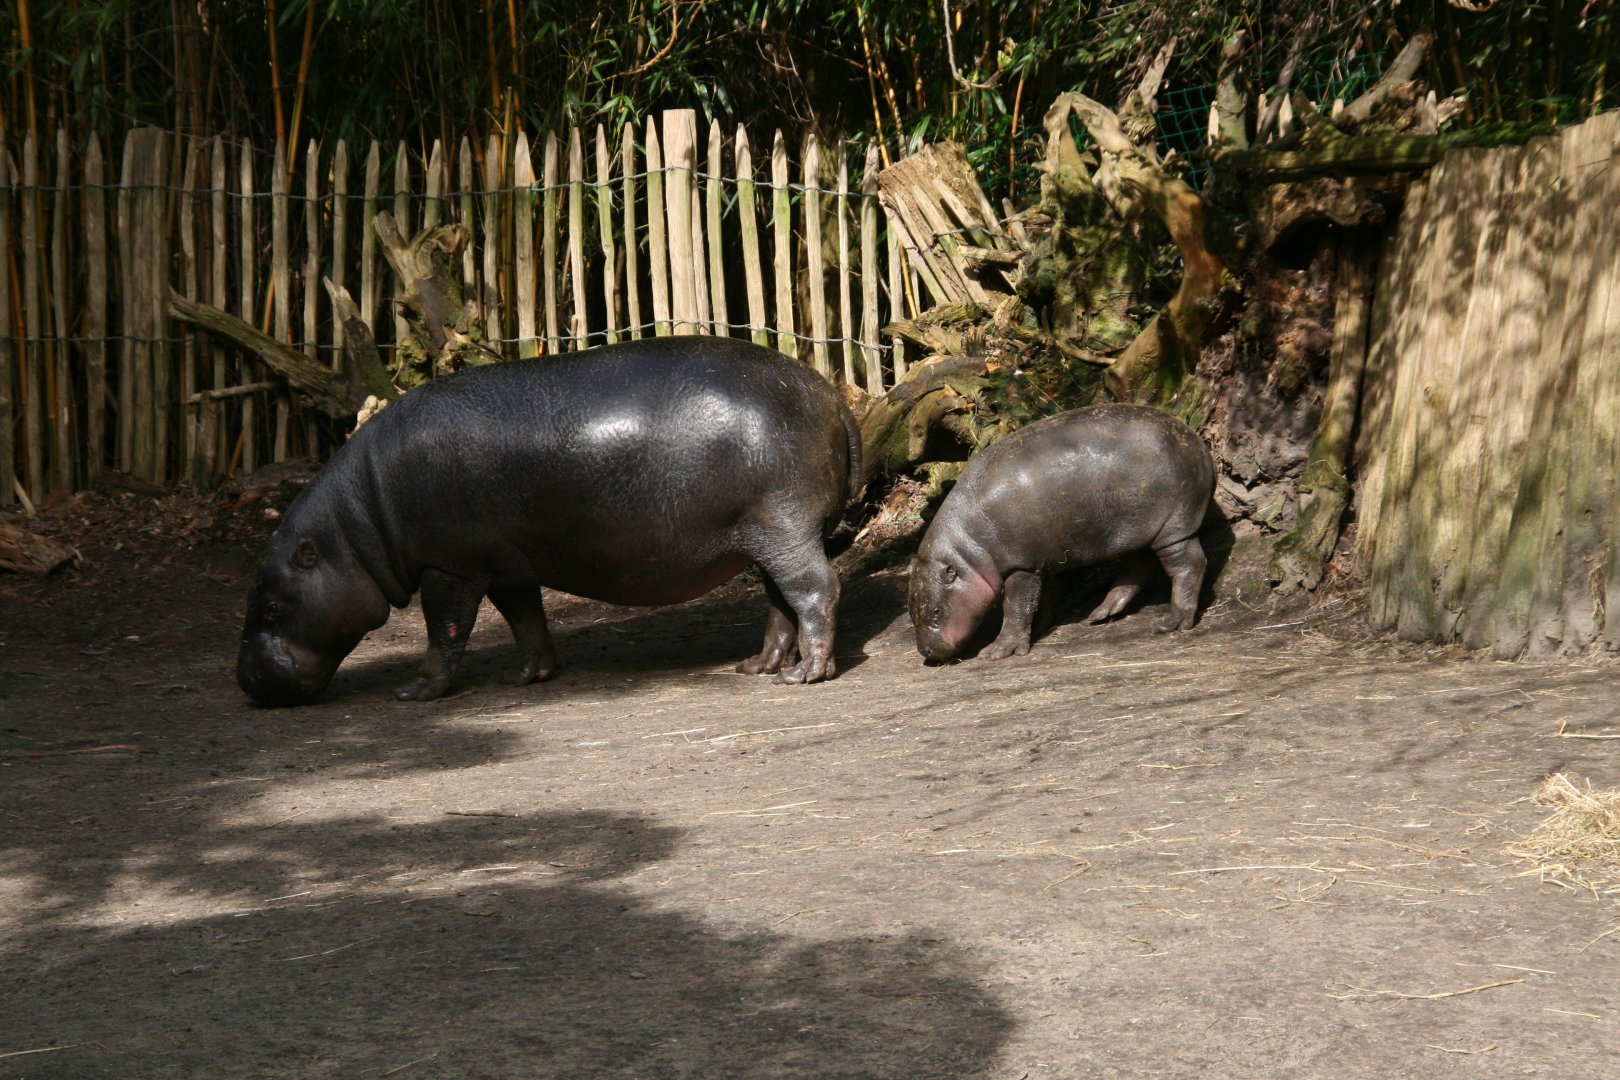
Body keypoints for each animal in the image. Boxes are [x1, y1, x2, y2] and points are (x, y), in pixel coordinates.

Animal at [237, 336, 862, 705]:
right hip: (763, 536)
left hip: (783, 525)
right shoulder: (507, 566)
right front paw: (527, 678)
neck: (357, 527)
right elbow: (525, 620)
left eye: (270, 607)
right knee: (780, 601)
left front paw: (416, 692)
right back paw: (757, 668)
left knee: (817, 589)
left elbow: (445, 631)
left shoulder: (449, 567)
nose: (246, 682)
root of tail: (830, 394)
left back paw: (807, 676)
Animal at [909, 404, 1214, 662]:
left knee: (1188, 565)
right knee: (1138, 566)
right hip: (1143, 530)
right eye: (912, 612)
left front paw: (997, 652)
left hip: (1174, 528)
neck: (968, 552)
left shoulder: (1020, 566)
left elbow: (1015, 607)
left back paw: (1172, 623)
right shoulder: (1039, 562)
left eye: (936, 611)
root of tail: (1199, 443)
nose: (927, 653)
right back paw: (1101, 614)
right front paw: (1040, 628)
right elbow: (1040, 600)